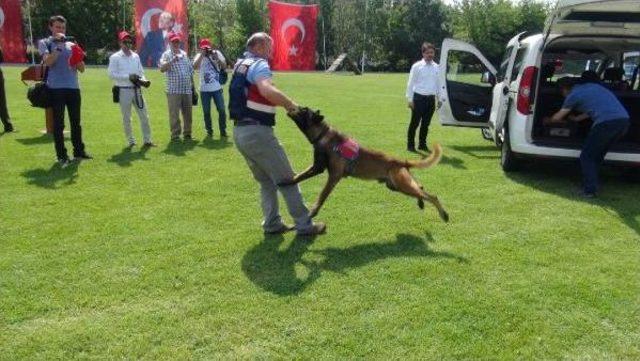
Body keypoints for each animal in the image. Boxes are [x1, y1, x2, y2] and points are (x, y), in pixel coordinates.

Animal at [280, 105, 450, 221]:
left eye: (303, 110)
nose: (291, 106)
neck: (324, 135)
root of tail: (401, 161)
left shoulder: (333, 176)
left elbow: (322, 195)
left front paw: (313, 211)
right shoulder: (316, 167)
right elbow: (300, 175)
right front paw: (286, 181)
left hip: (402, 185)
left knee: (432, 196)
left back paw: (444, 214)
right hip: (397, 185)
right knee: (420, 188)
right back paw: (421, 202)